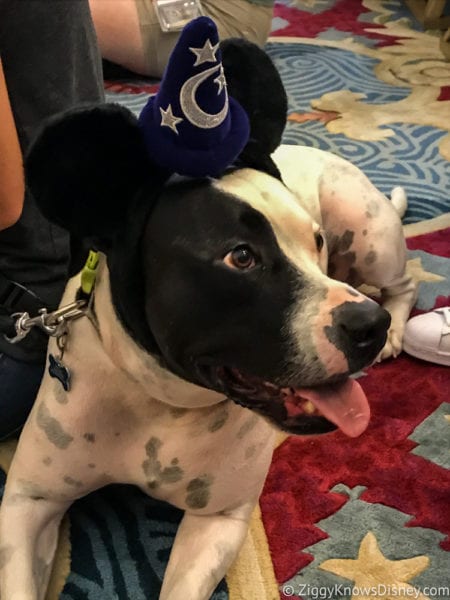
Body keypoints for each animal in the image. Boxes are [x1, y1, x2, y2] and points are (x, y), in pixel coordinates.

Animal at [0, 18, 414, 600]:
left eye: (314, 242)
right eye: (240, 257)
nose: (368, 327)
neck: (161, 402)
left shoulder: (218, 520)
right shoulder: (28, 502)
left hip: (367, 233)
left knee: (407, 281)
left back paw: (399, 329)